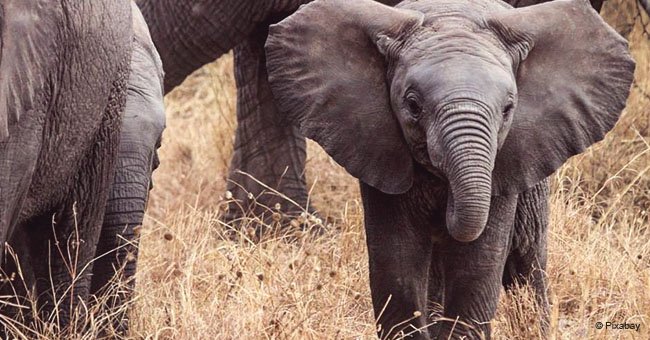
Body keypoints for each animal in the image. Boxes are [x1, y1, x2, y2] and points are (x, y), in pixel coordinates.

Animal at [264, 0, 632, 338]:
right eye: (412, 105)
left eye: (508, 108)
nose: (447, 205)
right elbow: (396, 261)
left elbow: (477, 265)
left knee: (527, 263)